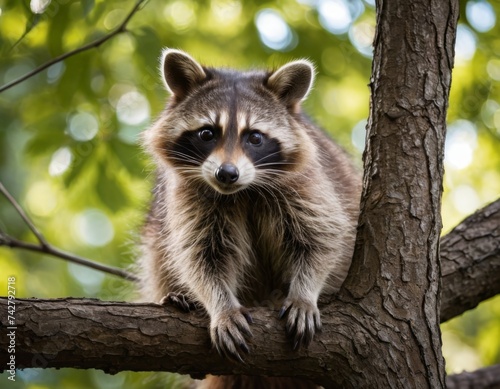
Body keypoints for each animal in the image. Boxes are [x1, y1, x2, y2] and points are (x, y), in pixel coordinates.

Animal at [139, 50, 362, 366]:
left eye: (255, 137)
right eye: (207, 133)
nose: (226, 173)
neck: (243, 191)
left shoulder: (307, 183)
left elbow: (321, 238)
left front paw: (304, 294)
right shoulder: (188, 196)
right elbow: (201, 255)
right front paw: (221, 306)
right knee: (158, 249)